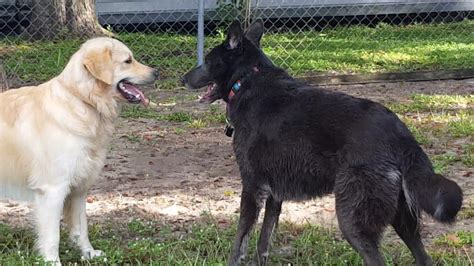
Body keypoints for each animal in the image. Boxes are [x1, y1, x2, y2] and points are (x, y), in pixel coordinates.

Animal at [182, 21, 462, 266]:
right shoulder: (274, 196)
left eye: (208, 60)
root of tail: (400, 133)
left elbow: (240, 242)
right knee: (423, 258)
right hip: (402, 219)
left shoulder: (252, 188)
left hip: (353, 220)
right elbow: (264, 243)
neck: (248, 80)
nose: (183, 79)